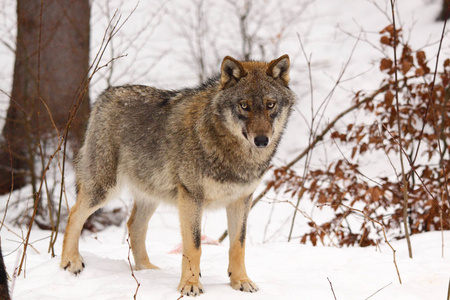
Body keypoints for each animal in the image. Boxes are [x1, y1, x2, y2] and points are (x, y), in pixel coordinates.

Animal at [61, 54, 298, 296]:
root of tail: (106, 94)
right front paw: (190, 285)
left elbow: (238, 245)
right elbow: (194, 246)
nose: (261, 140)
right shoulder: (191, 197)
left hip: (150, 194)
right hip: (104, 189)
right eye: (244, 106)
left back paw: (147, 270)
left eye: (270, 105)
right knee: (74, 214)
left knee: (133, 225)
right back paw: (70, 262)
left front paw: (240, 281)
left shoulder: (241, 200)